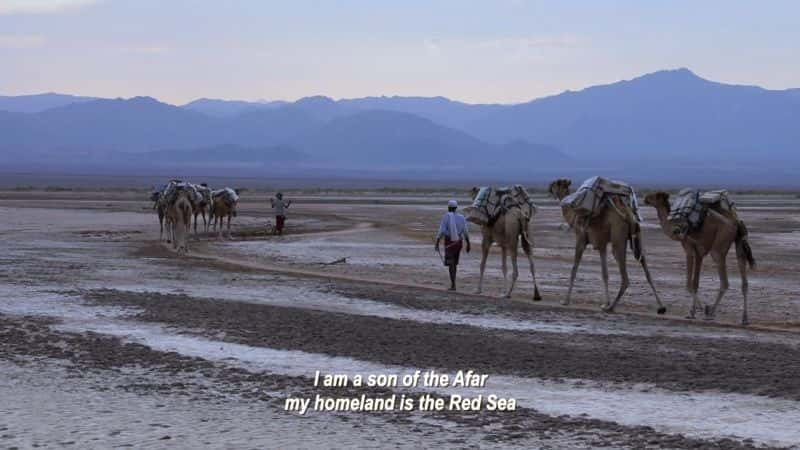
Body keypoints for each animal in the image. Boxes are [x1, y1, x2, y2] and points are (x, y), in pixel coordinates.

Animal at [548, 178, 664, 312]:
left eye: (556, 183)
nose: (549, 187)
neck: (574, 214)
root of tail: (628, 214)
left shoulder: (581, 239)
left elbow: (574, 270)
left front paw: (565, 301)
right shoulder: (601, 244)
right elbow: (605, 274)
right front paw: (605, 302)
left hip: (618, 237)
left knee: (625, 277)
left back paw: (612, 307)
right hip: (637, 234)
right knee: (645, 266)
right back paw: (661, 306)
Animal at [644, 190, 756, 324]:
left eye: (655, 196)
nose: (645, 198)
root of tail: (736, 222)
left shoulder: (693, 250)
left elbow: (692, 284)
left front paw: (694, 312)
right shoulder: (695, 252)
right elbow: (691, 284)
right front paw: (699, 309)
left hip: (719, 245)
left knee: (724, 282)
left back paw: (711, 313)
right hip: (739, 242)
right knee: (743, 279)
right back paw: (744, 318)